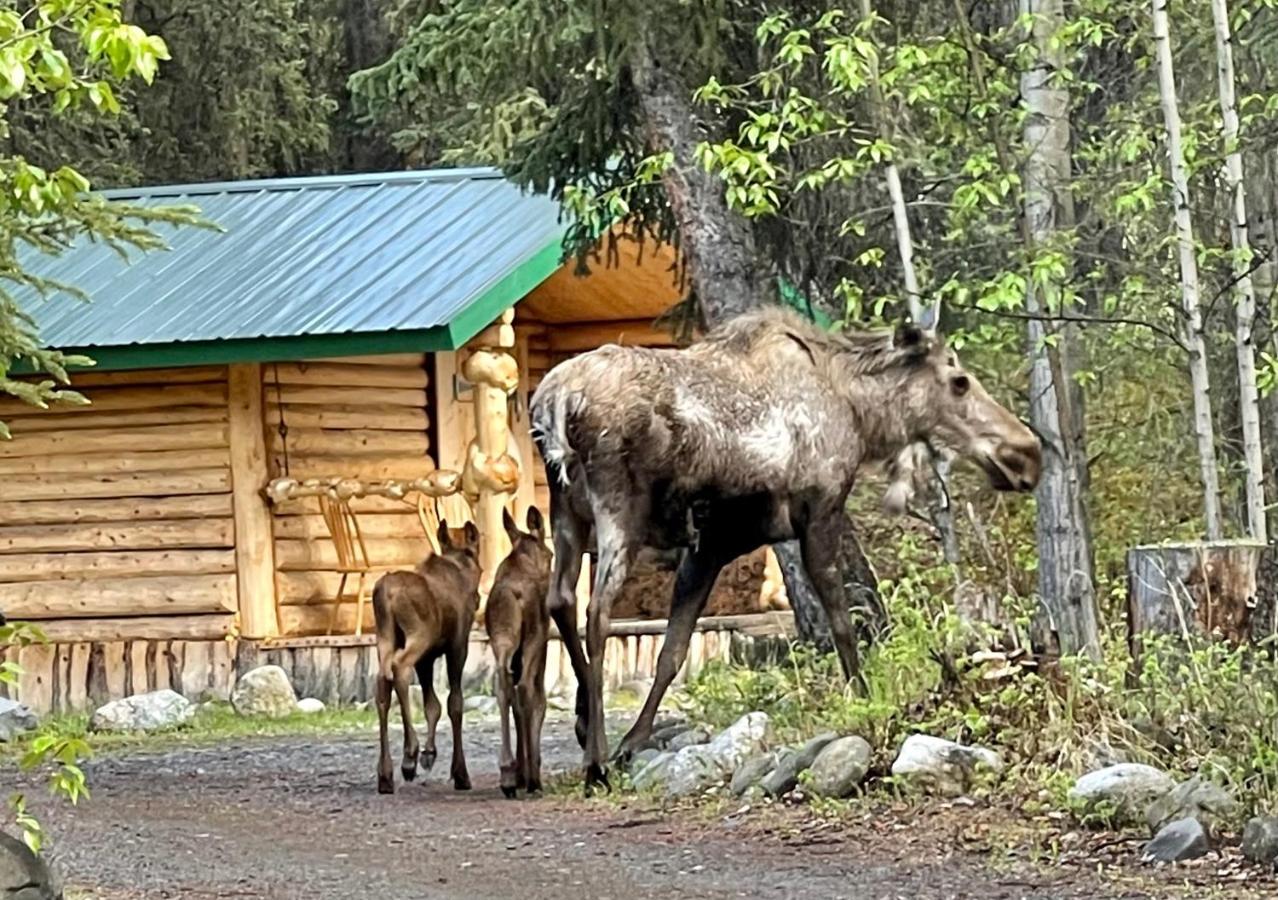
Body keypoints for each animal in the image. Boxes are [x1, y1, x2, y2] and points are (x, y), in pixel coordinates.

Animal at [375, 521, 485, 792]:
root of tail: (386, 593)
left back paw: (385, 772)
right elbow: (455, 703)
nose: (478, 599)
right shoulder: (458, 645)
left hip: (385, 636)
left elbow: (432, 705)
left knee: (382, 681)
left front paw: (430, 753)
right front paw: (460, 773)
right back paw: (409, 754)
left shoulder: (427, 658)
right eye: (475, 554)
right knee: (399, 668)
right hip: (419, 634)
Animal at [529, 308, 1037, 787]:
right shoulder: (818, 512)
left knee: (560, 600)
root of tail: (551, 404)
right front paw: (864, 701)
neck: (860, 413)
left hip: (568, 512)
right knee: (597, 611)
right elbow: (842, 625)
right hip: (618, 509)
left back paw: (579, 732)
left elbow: (672, 652)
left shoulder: (711, 545)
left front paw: (633, 740)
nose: (1027, 453)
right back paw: (594, 758)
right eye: (959, 381)